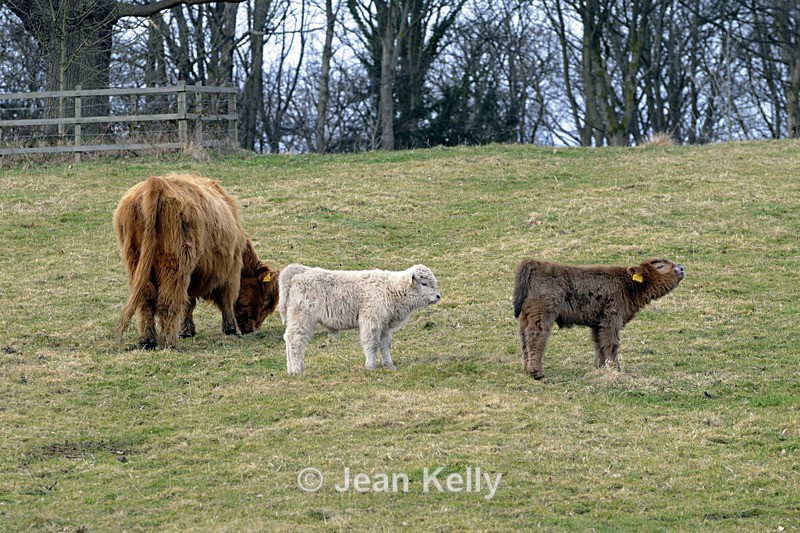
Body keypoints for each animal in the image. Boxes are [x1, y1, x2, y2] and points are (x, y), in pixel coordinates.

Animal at [114, 173, 279, 349]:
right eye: (267, 300)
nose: (253, 329)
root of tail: (156, 182)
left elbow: (189, 302)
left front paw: (187, 330)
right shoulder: (231, 268)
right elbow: (226, 299)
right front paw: (231, 329)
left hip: (135, 262)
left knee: (146, 301)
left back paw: (147, 341)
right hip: (175, 264)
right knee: (168, 301)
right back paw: (169, 343)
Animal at [278, 264, 441, 375]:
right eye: (424, 283)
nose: (438, 296)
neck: (391, 289)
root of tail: (300, 271)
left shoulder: (384, 326)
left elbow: (385, 345)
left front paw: (389, 365)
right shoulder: (371, 321)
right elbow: (372, 344)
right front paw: (371, 366)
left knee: (288, 338)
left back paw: (291, 369)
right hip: (302, 318)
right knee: (296, 340)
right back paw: (297, 370)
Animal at [513, 257, 685, 379]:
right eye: (660, 266)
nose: (681, 268)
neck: (626, 284)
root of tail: (536, 263)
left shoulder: (598, 324)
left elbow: (599, 345)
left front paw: (600, 368)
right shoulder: (611, 321)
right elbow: (612, 344)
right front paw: (616, 370)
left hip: (525, 317)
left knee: (524, 340)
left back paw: (526, 369)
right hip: (542, 315)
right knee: (536, 337)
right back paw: (536, 373)